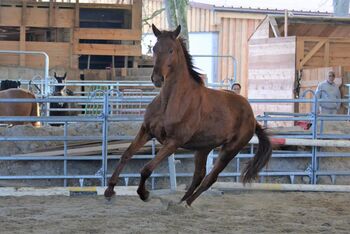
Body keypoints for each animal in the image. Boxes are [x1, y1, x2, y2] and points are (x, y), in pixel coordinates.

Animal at [104, 24, 274, 206]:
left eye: (171, 50)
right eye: (155, 48)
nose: (157, 78)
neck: (170, 102)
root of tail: (252, 118)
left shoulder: (173, 142)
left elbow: (146, 168)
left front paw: (144, 194)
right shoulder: (147, 131)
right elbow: (126, 155)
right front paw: (109, 190)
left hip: (230, 150)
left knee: (210, 178)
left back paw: (185, 204)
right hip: (203, 148)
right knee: (198, 175)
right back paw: (180, 203)